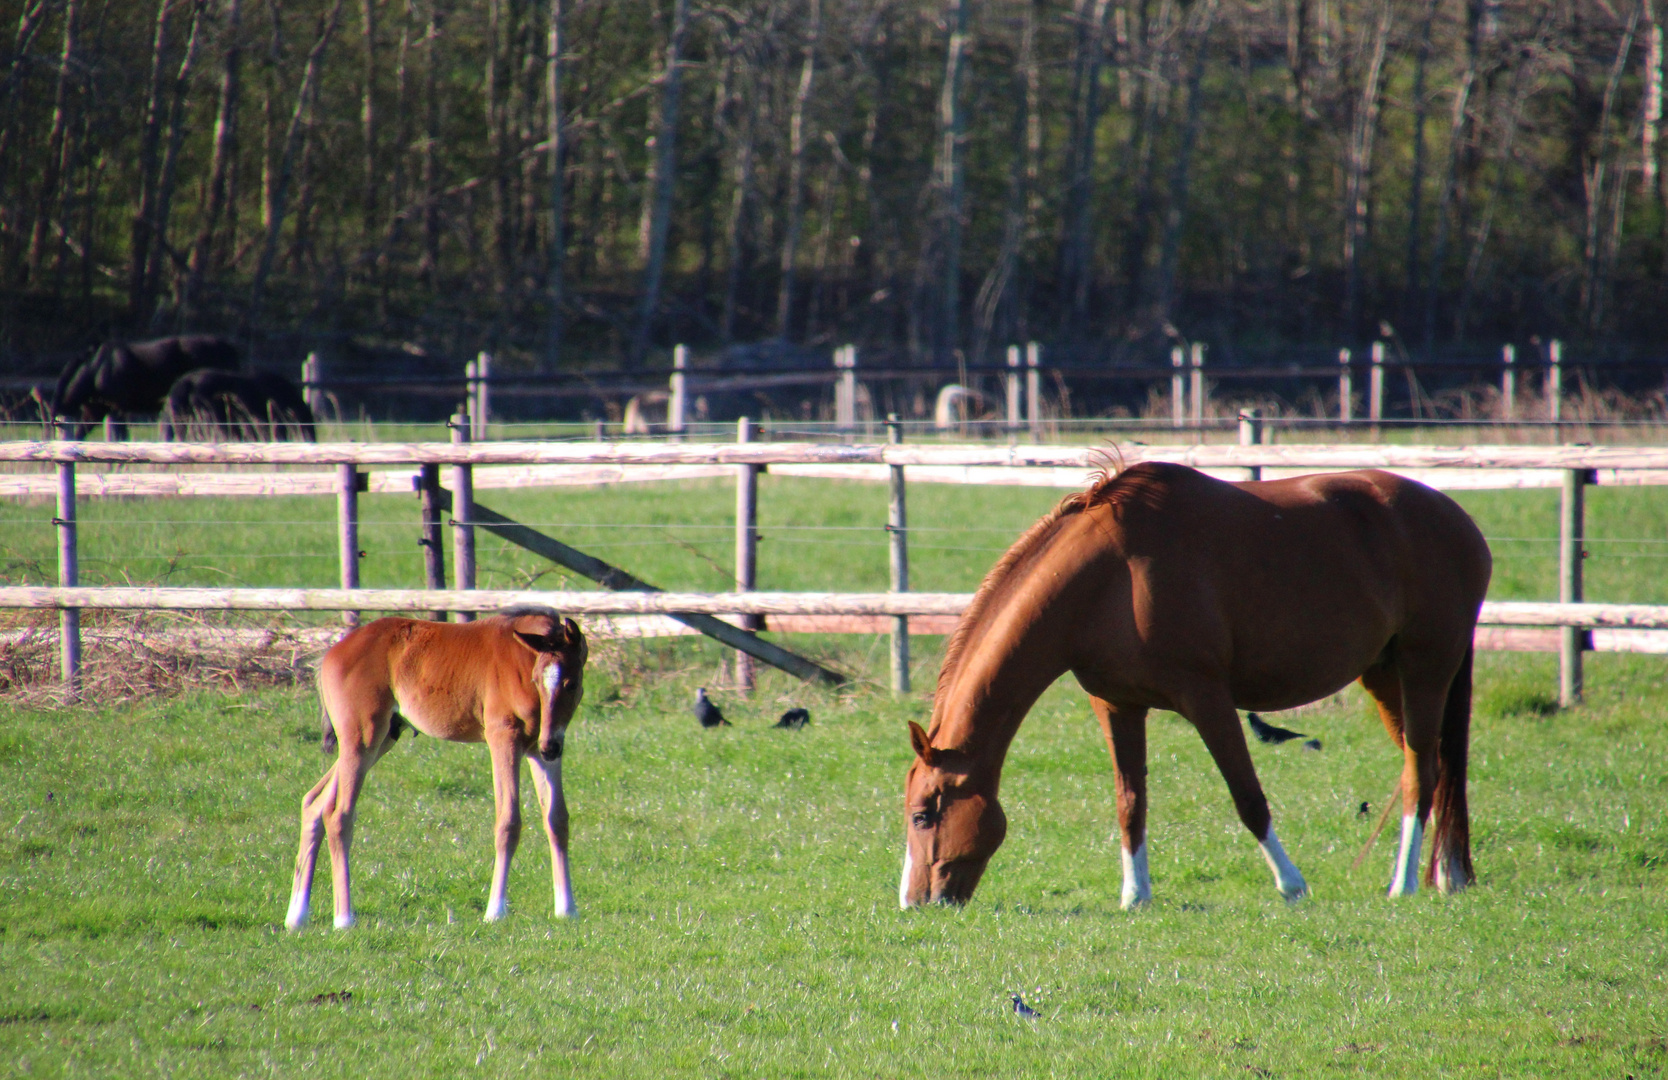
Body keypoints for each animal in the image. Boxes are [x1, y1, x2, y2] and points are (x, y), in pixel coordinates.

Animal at [290, 607, 590, 928]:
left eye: (572, 683)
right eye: (536, 680)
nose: (550, 747)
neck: (521, 659)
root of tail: (332, 652)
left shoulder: (538, 748)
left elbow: (557, 819)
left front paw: (568, 909)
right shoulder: (503, 737)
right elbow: (508, 822)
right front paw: (495, 911)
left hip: (382, 739)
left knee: (314, 802)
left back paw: (297, 915)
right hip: (361, 737)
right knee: (339, 815)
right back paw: (344, 917)